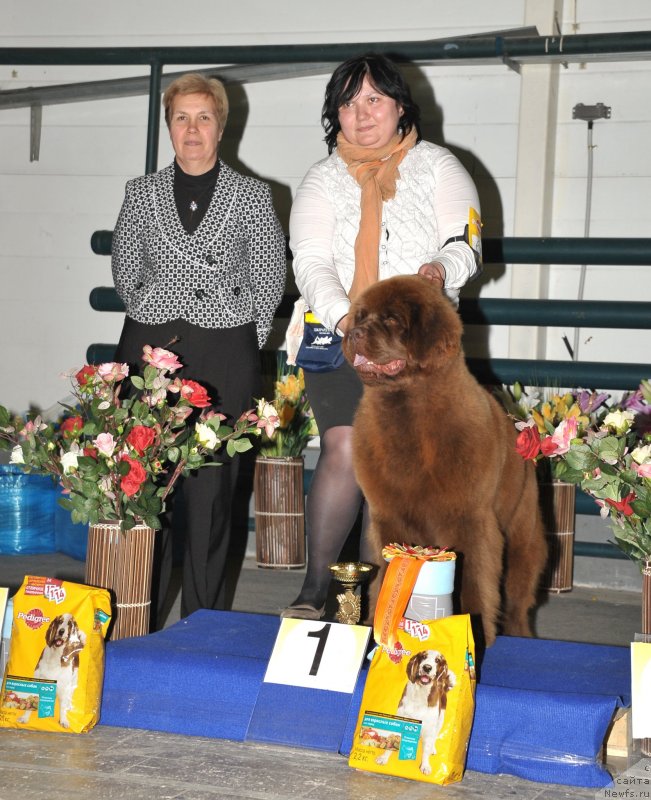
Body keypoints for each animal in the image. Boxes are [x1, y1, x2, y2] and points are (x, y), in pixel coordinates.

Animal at [344, 274, 548, 644]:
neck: (407, 413)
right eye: (360, 317)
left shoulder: (469, 518)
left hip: (523, 531)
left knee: (518, 596)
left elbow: (475, 579)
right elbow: (386, 572)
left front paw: (476, 632)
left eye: (392, 319)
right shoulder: (388, 516)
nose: (354, 334)